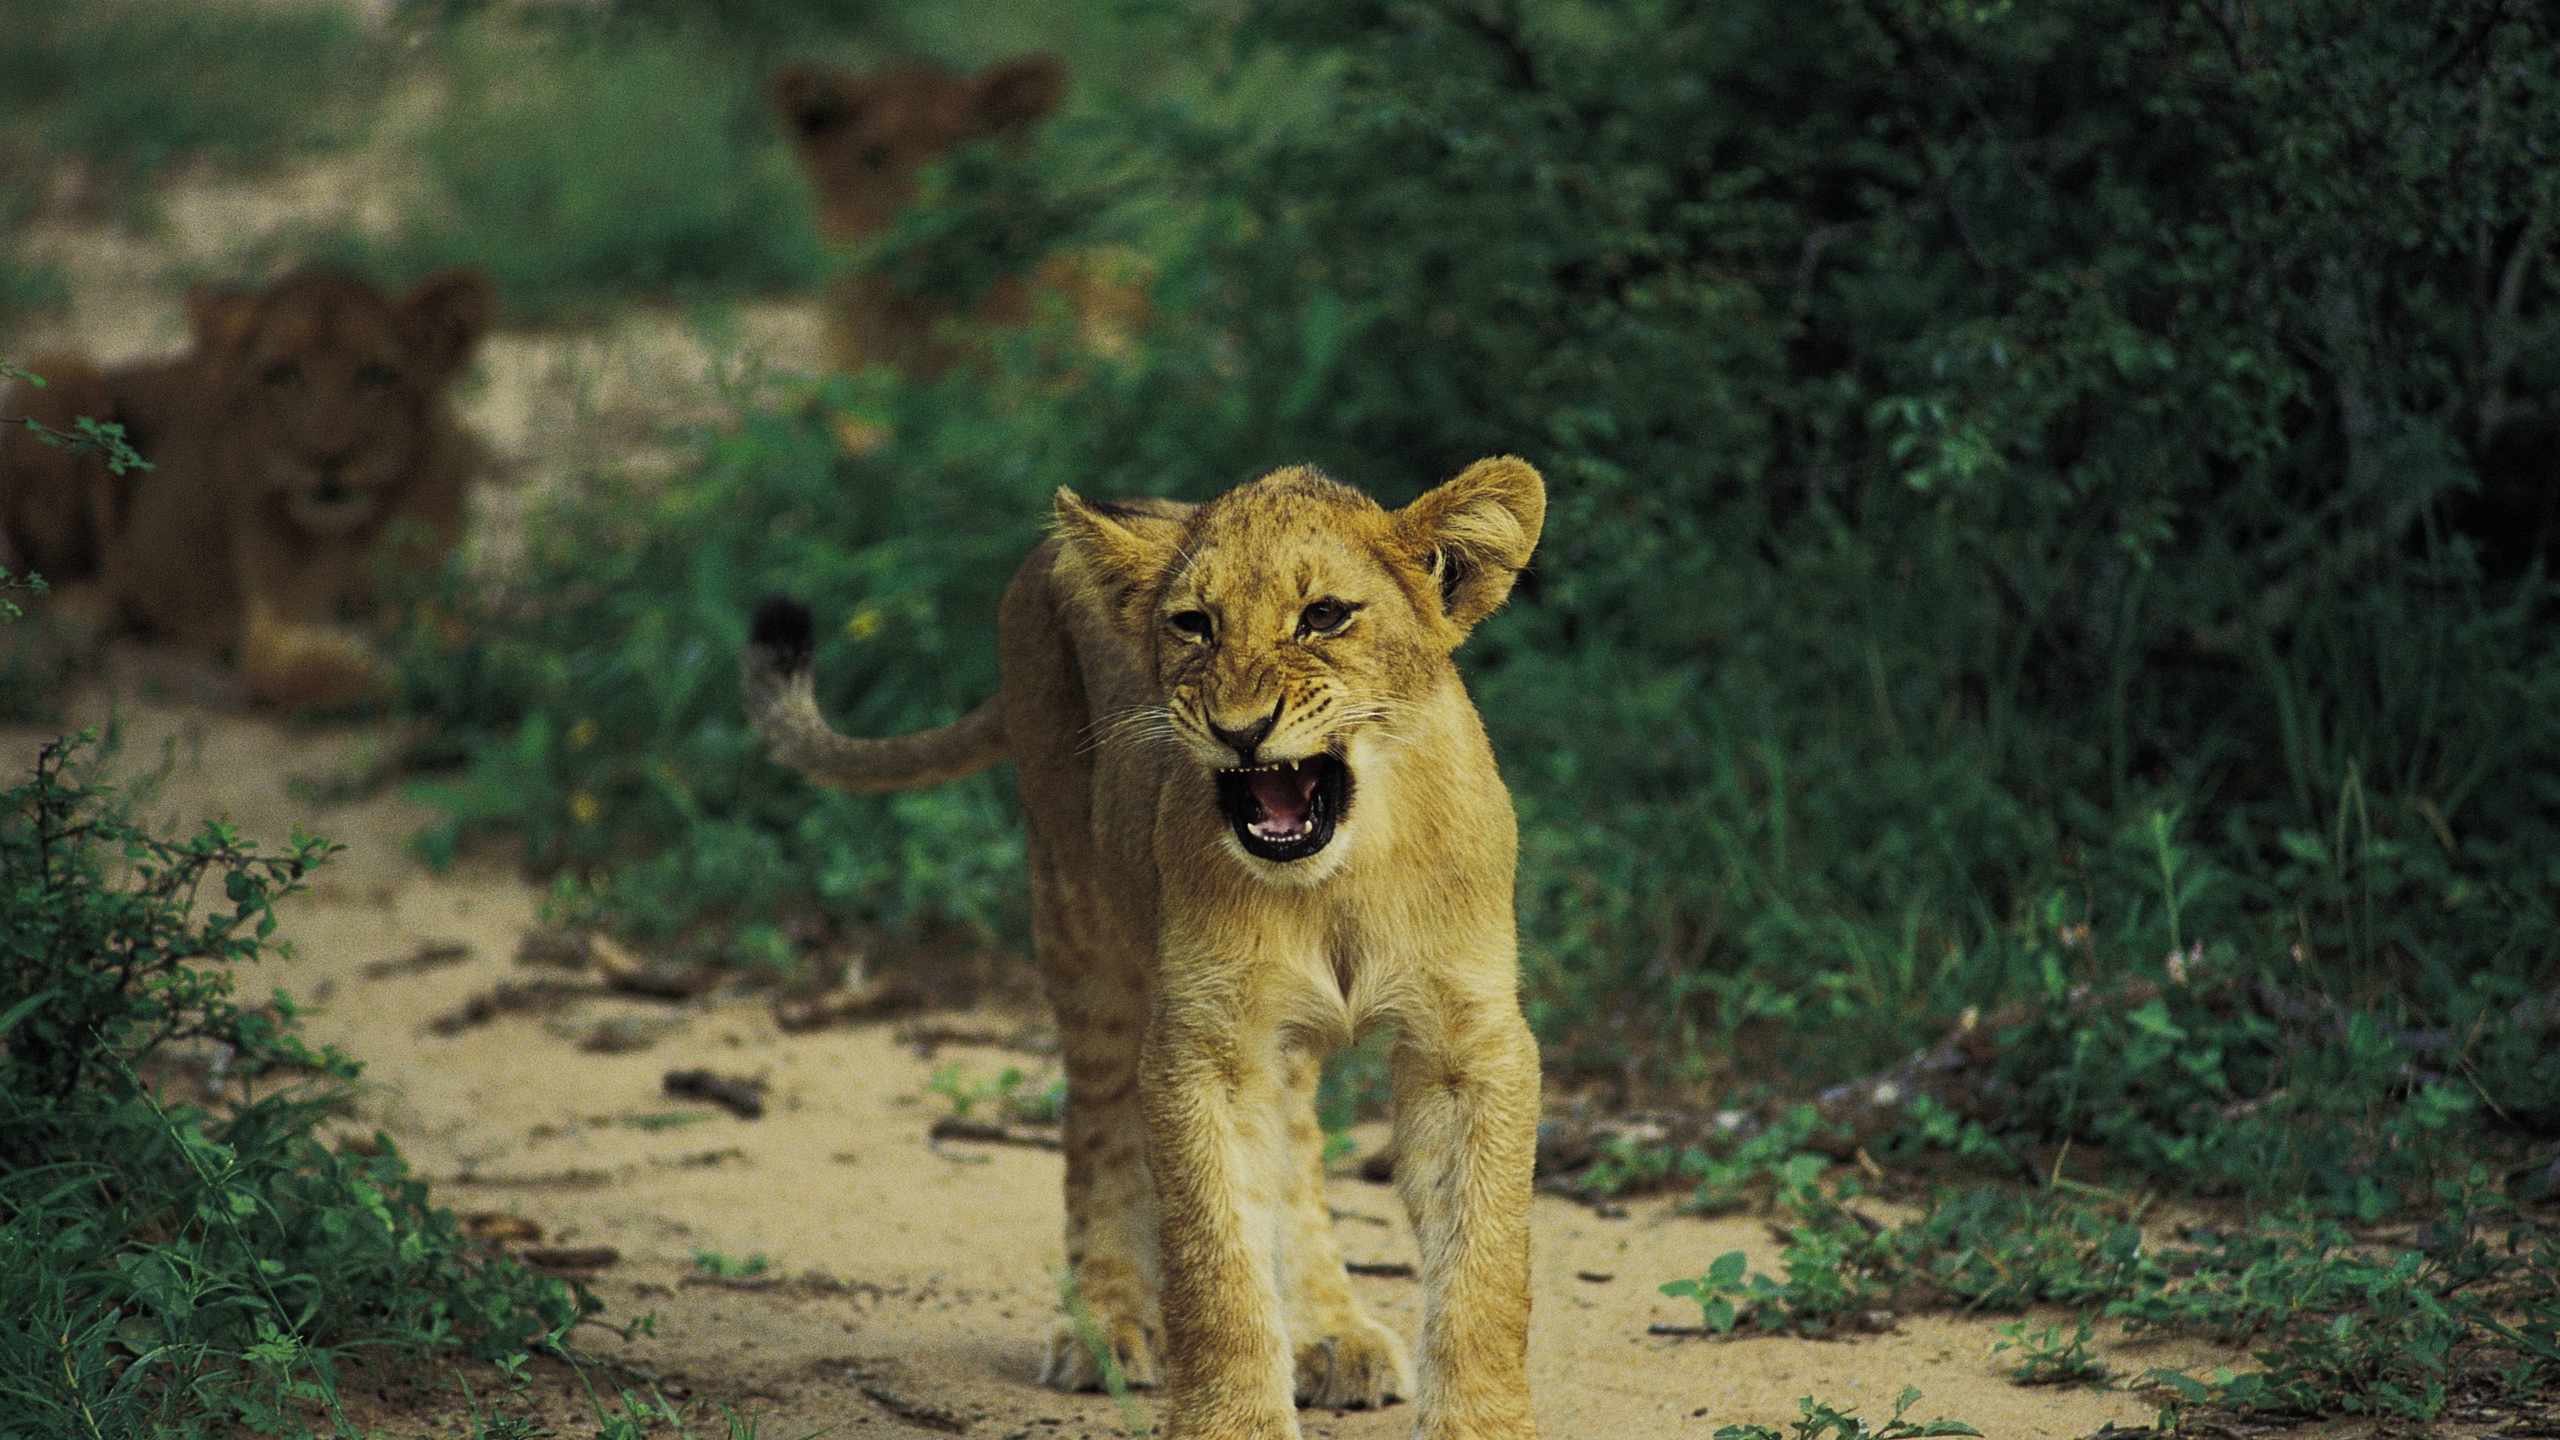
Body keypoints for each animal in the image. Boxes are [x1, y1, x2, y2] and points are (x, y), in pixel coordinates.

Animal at [0, 266, 494, 708]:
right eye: (282, 375)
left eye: (376, 375)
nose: (327, 457)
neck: (347, 531)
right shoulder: (275, 620)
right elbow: (294, 673)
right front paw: (414, 668)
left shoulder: (426, 585)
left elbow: (451, 632)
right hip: (59, 372)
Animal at [744, 459, 1547, 1439]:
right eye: (1193, 624)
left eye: (1324, 615)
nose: (1240, 728)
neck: (1337, 881)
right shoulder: (1203, 1043)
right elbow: (1214, 1258)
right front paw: (1235, 1423)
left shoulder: (1470, 1041)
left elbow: (1485, 1264)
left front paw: (1479, 1420)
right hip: (1077, 913)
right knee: (1094, 1120)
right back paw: (1107, 1326)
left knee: (1294, 1144)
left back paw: (1331, 1332)